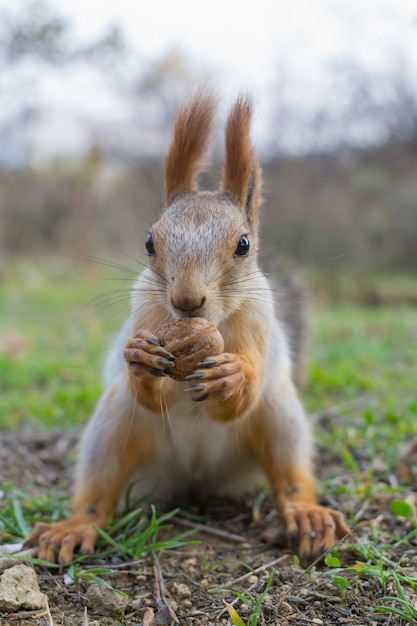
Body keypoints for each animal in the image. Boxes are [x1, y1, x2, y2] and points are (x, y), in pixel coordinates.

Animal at [24, 92, 350, 564]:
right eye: (149, 242)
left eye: (243, 244)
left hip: (282, 421)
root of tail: (197, 475)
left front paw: (232, 376)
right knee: (98, 492)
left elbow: (238, 399)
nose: (186, 300)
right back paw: (74, 526)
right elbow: (151, 394)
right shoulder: (145, 312)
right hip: (112, 428)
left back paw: (306, 514)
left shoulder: (259, 321)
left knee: (289, 477)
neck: (204, 325)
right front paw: (140, 358)